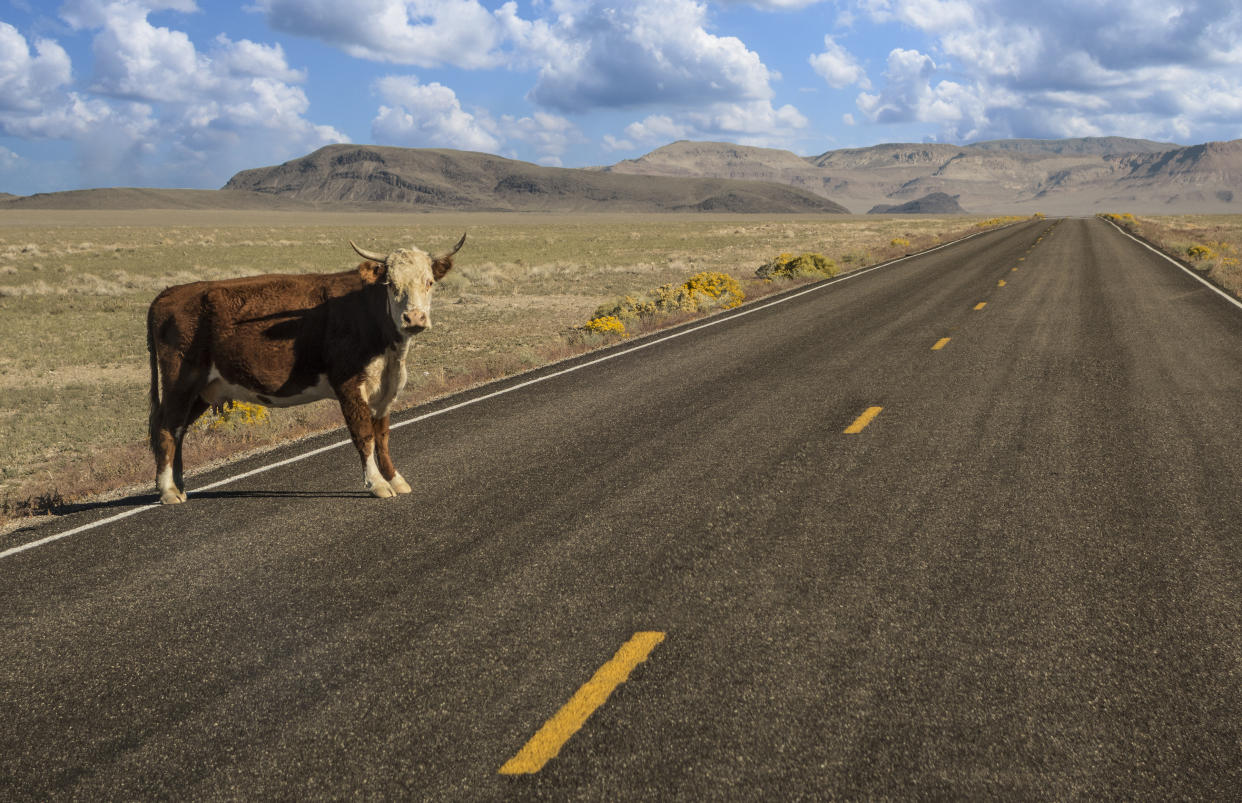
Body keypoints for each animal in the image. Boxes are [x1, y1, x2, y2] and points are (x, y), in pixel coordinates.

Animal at [146, 235, 466, 506]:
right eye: (391, 284)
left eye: (429, 282)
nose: (414, 318)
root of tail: (170, 293)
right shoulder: (349, 385)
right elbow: (364, 435)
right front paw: (377, 484)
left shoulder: (385, 388)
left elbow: (383, 436)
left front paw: (396, 479)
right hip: (180, 381)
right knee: (166, 427)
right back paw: (169, 491)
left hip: (204, 390)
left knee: (179, 430)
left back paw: (180, 485)